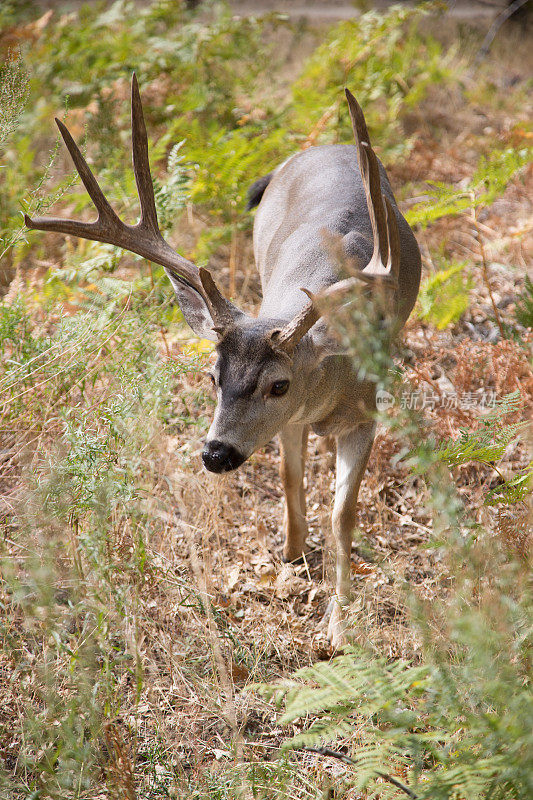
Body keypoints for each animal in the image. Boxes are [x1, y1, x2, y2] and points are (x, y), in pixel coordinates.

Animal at [27, 73, 420, 648]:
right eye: (212, 376)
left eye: (279, 384)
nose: (216, 454)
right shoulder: (291, 422)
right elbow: (289, 476)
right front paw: (292, 558)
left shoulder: (365, 412)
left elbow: (343, 514)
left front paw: (338, 622)